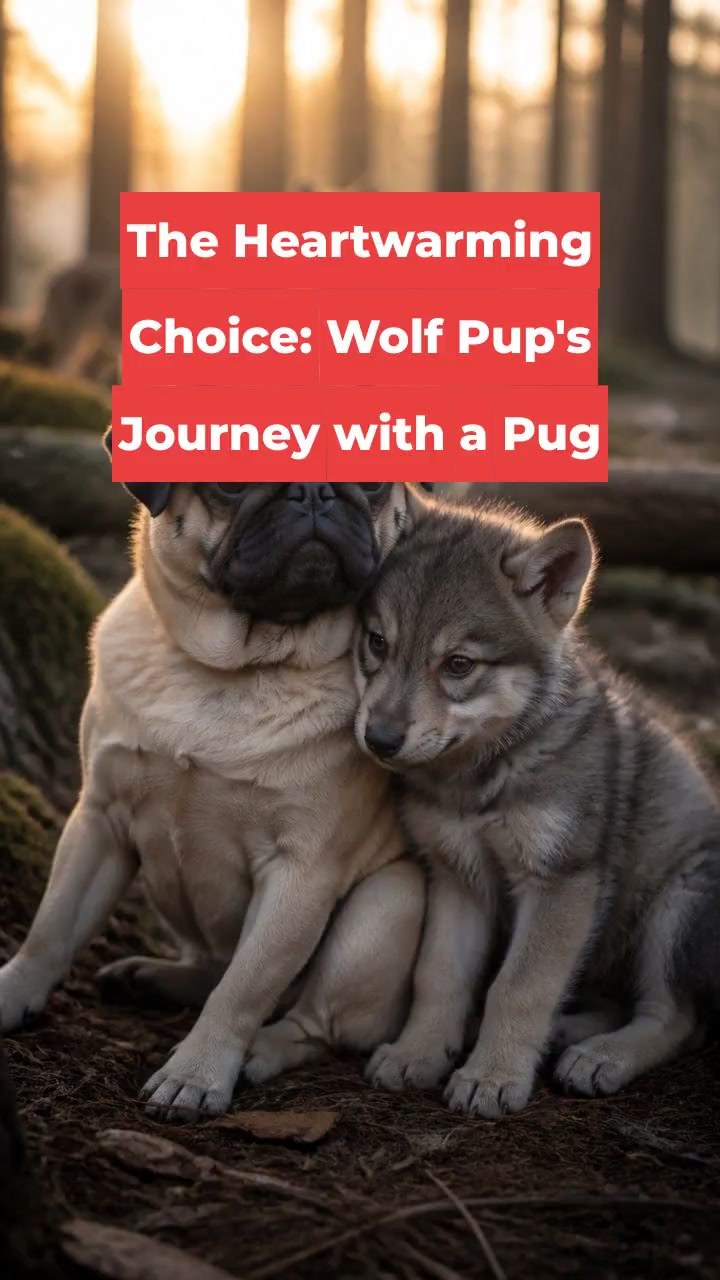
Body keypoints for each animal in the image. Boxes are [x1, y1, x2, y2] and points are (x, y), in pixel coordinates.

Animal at [354, 490, 720, 1118]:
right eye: (378, 643)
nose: (379, 739)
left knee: (678, 1018)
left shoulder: (561, 882)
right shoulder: (458, 877)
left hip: (675, 907)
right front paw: (418, 1052)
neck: (478, 785)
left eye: (459, 665)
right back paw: (568, 1032)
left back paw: (601, 1056)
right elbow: (438, 976)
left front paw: (492, 1076)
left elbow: (519, 986)